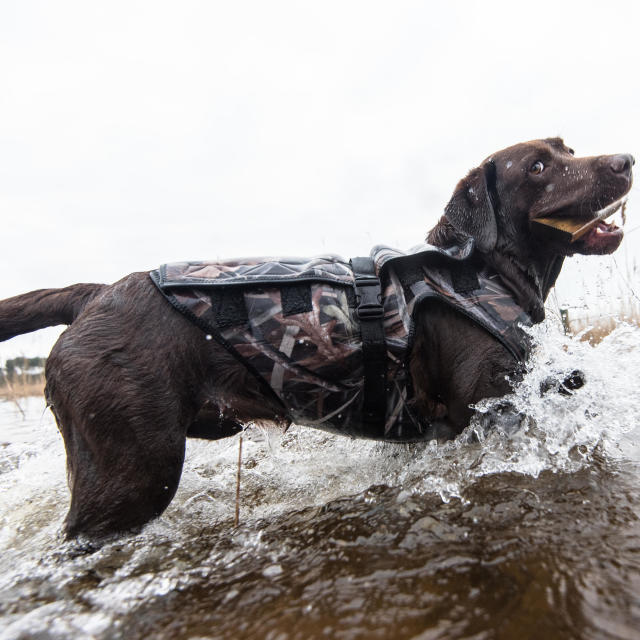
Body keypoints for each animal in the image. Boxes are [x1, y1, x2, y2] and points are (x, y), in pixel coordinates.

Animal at [0, 138, 632, 536]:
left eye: (568, 149)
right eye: (538, 167)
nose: (625, 160)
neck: (481, 270)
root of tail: (94, 294)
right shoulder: (482, 413)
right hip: (131, 469)